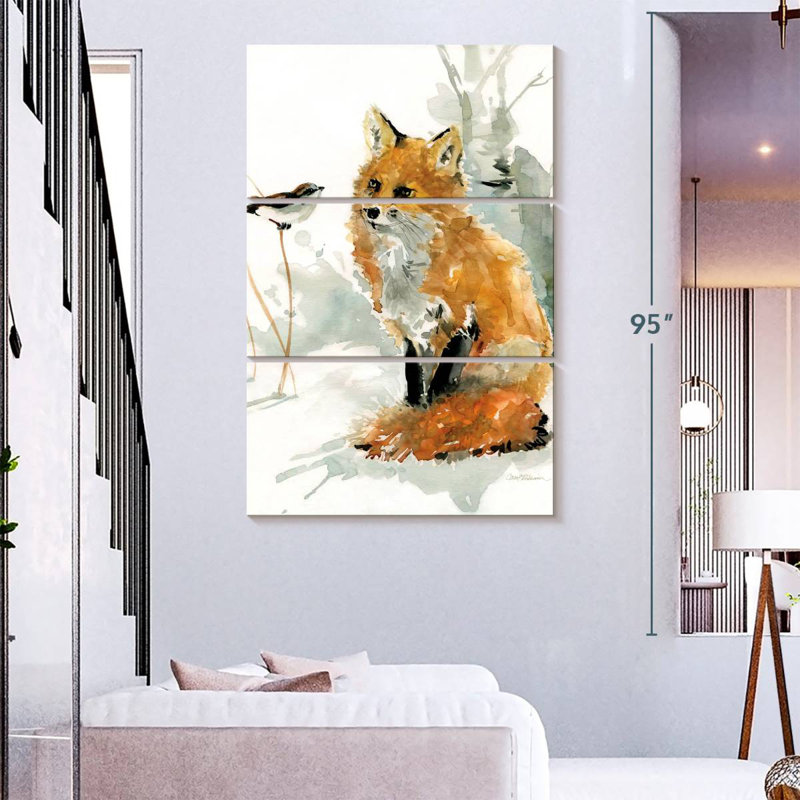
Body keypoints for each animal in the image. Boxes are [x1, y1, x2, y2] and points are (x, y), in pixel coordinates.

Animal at [348, 107, 553, 462]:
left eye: (404, 192)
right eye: (374, 184)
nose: (371, 211)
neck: (407, 267)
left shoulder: (463, 322)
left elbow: (441, 390)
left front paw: (426, 427)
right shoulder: (412, 333)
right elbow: (416, 389)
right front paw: (415, 417)